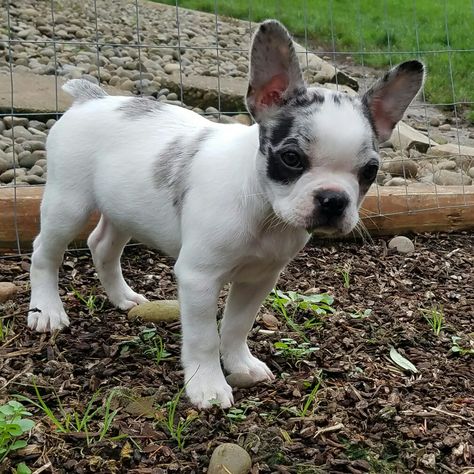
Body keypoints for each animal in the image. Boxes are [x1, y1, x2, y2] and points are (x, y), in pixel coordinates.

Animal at [27, 19, 424, 408]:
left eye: (370, 171)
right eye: (291, 158)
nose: (333, 199)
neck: (264, 211)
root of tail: (91, 98)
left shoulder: (258, 280)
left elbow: (236, 326)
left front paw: (240, 364)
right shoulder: (199, 279)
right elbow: (204, 337)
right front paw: (207, 386)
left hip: (123, 207)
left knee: (103, 246)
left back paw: (122, 296)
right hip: (68, 204)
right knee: (44, 253)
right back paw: (47, 311)